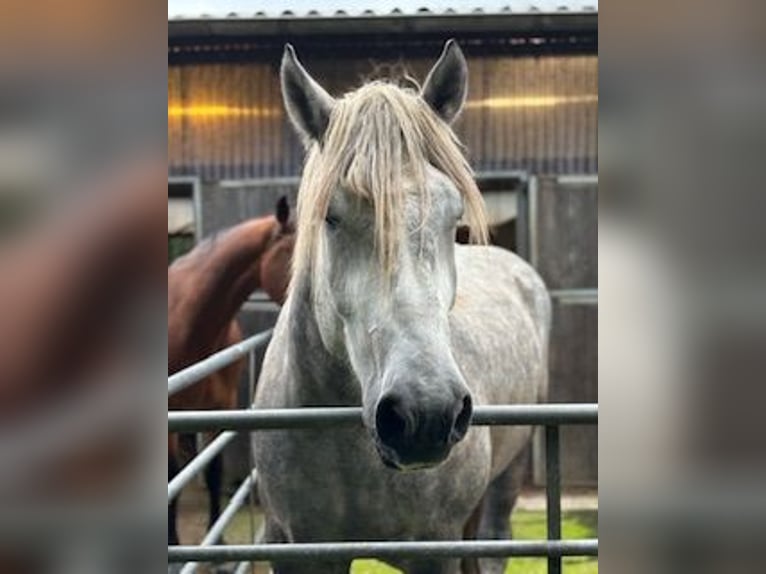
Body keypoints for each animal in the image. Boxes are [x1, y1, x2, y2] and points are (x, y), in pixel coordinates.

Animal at [254, 41, 552, 574]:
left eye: (453, 214)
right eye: (331, 216)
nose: (424, 413)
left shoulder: (433, 551)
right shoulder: (298, 550)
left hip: (508, 476)